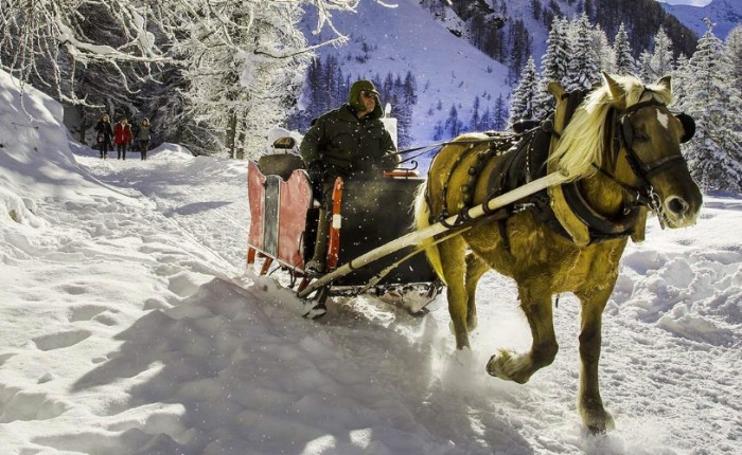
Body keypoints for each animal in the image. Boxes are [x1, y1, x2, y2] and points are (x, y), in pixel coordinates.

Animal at [413, 73, 702, 433]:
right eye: (638, 132)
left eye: (679, 130)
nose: (686, 204)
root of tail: (447, 149)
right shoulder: (534, 283)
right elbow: (546, 348)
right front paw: (503, 365)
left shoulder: (600, 286)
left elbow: (590, 344)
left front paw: (593, 411)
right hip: (449, 237)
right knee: (454, 291)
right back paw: (464, 355)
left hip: (489, 243)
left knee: (473, 269)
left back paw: (469, 317)